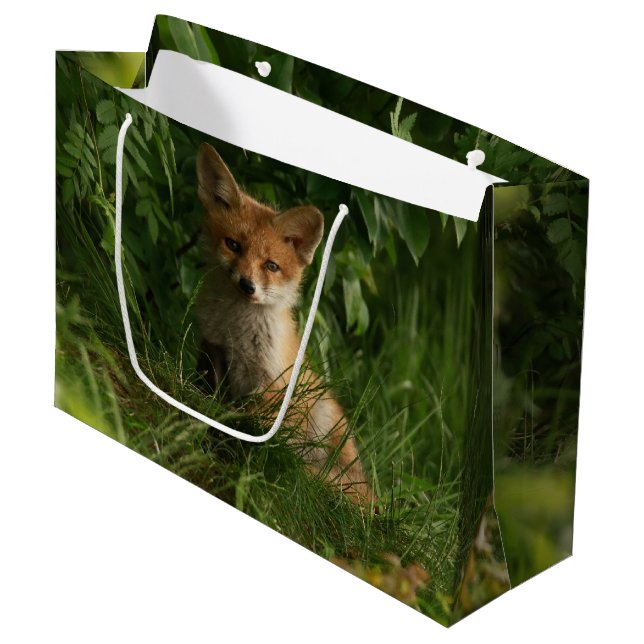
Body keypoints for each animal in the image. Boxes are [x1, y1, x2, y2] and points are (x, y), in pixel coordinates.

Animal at [195, 143, 372, 504]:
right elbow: (213, 394)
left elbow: (254, 424)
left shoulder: (270, 384)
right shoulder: (213, 350)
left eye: (271, 265)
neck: (235, 328)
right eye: (233, 245)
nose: (247, 285)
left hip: (321, 413)